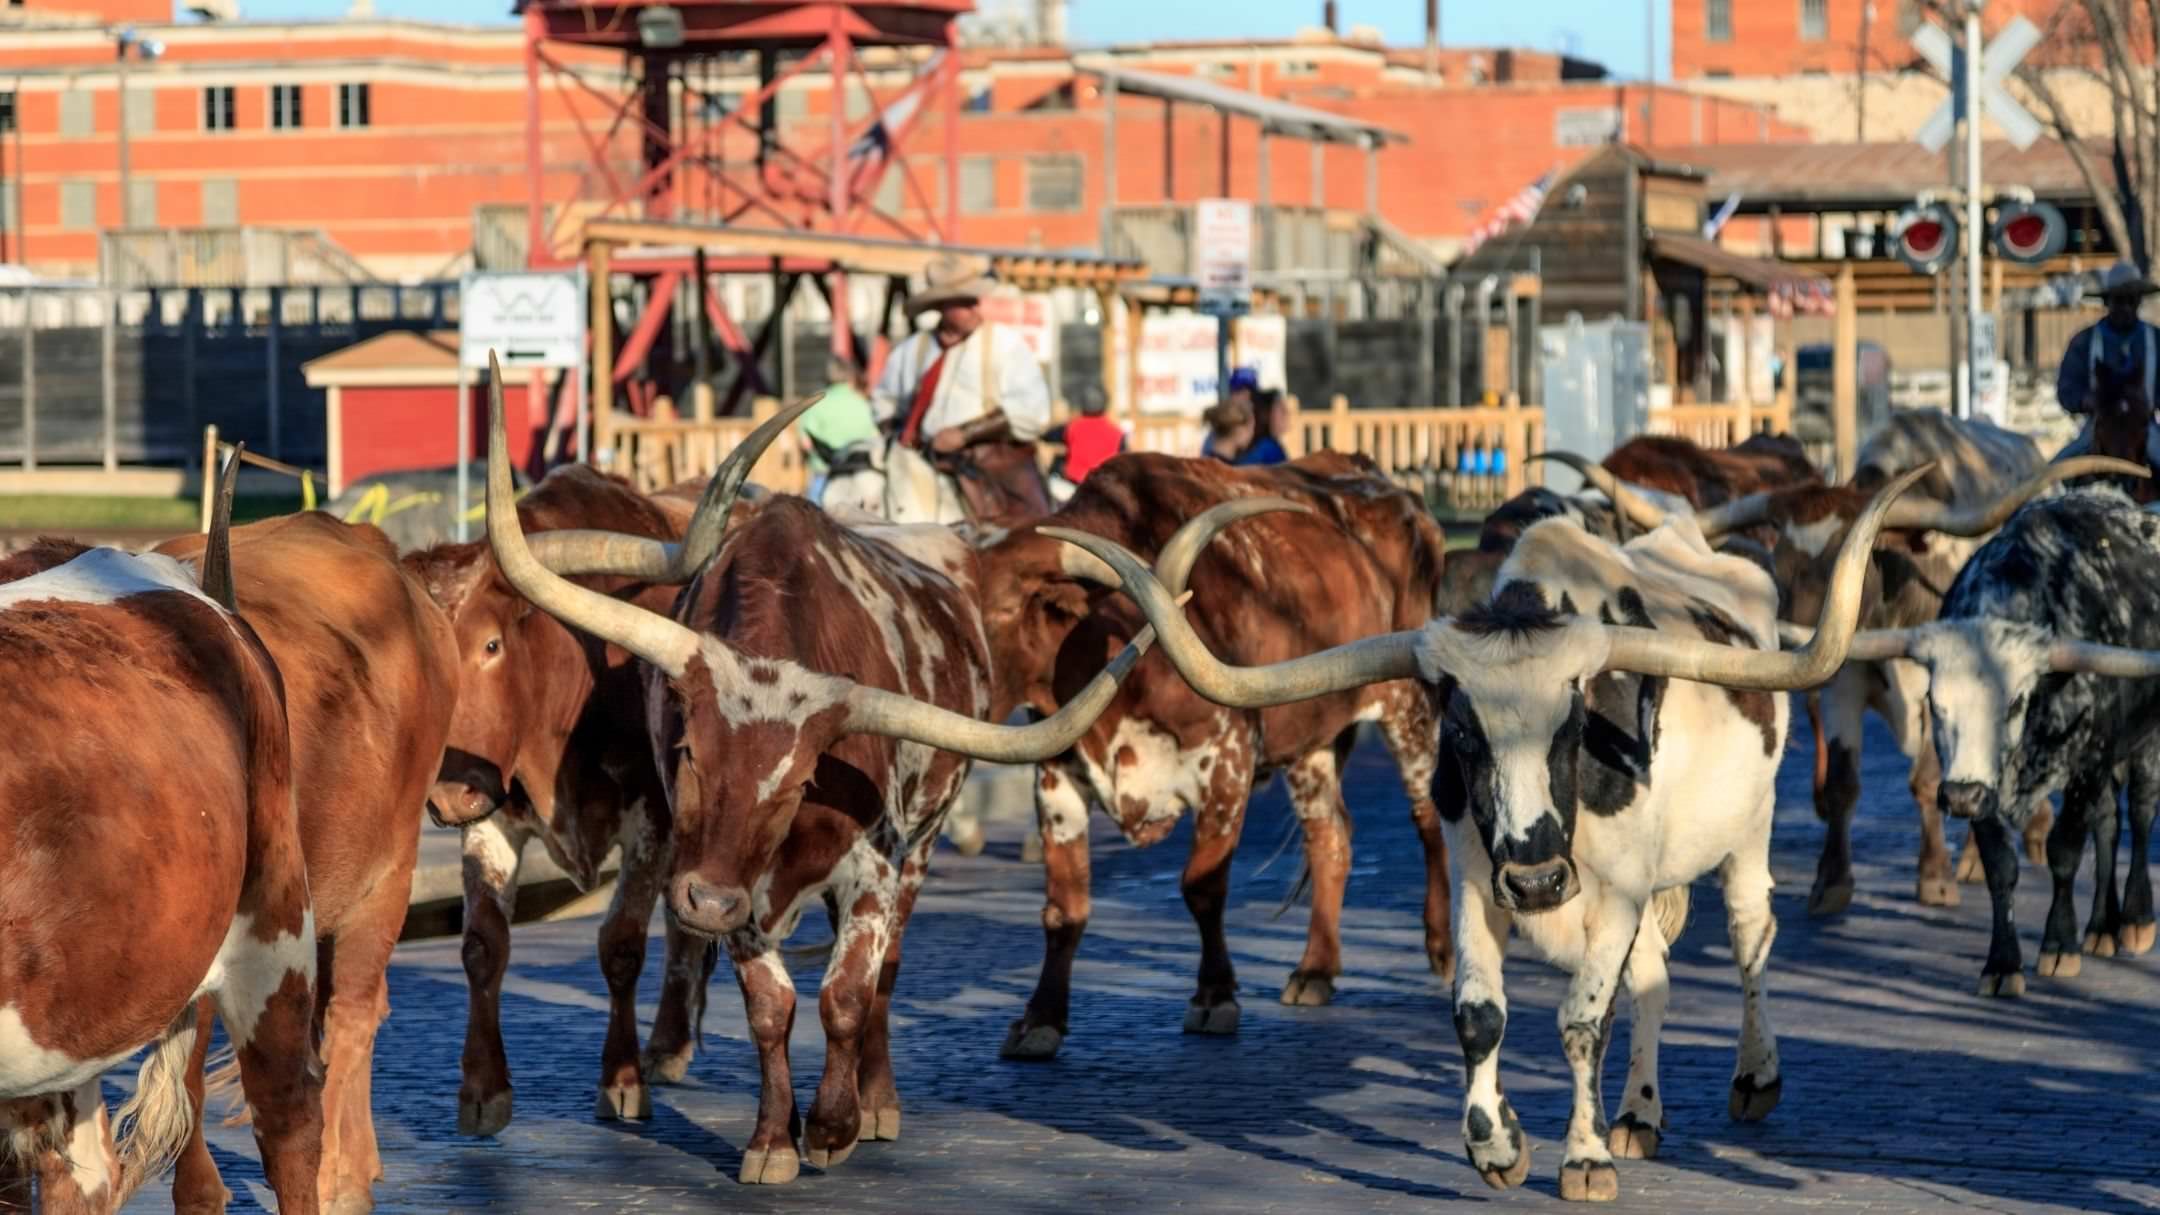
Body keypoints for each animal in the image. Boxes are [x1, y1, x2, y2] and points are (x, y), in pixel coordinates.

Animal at [407, 462, 759, 1136]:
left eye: (491, 646)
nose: (447, 796)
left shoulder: (653, 820)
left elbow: (621, 944)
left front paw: (621, 1082)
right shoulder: (493, 818)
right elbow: (483, 944)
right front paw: (483, 1089)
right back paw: (667, 1046)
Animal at [474, 355, 1167, 1184]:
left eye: (801, 780)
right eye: (688, 752)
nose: (702, 903)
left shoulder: (872, 866)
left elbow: (847, 994)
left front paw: (836, 1123)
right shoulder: (735, 881)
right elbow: (771, 1010)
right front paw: (775, 1138)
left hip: (919, 846)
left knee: (886, 972)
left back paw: (877, 1098)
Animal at [971, 451, 1456, 1057]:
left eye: (1002, 610)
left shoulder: (1226, 764)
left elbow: (1202, 888)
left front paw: (1214, 996)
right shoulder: (1057, 779)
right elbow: (1064, 909)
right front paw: (1040, 1018)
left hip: (1409, 708)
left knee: (1428, 819)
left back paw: (1441, 946)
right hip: (1313, 741)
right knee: (1330, 838)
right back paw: (1315, 969)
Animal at [1047, 466, 1926, 1201]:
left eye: (1574, 724)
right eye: (1463, 734)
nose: (1537, 878)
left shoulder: (1615, 892)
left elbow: (1581, 1021)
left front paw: (1582, 1157)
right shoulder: (1477, 880)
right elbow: (1480, 1013)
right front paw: (1499, 1142)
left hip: (1747, 831)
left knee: (1749, 937)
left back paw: (1753, 1074)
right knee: (1652, 978)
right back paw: (1637, 1113)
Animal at [1793, 486, 2160, 996]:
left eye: (2015, 702)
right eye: (1935, 701)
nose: (1961, 796)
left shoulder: (2088, 758)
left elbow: (2065, 852)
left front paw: (2059, 945)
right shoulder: (1985, 784)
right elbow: (2000, 865)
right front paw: (2003, 963)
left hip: (2142, 740)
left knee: (2141, 813)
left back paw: (2135, 920)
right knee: (2108, 821)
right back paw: (2101, 928)